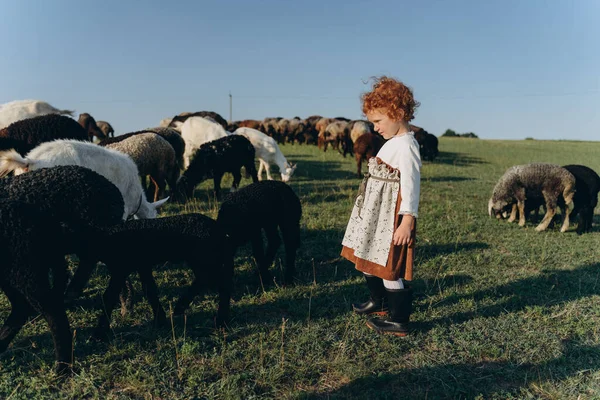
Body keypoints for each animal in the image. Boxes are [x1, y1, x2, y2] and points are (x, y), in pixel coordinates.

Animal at [85, 212, 236, 338]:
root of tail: (219, 230)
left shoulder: (121, 268)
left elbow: (109, 296)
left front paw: (99, 333)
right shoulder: (142, 265)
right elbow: (149, 289)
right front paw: (160, 320)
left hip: (205, 258)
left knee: (220, 283)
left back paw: (219, 320)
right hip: (202, 260)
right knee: (207, 280)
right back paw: (184, 308)